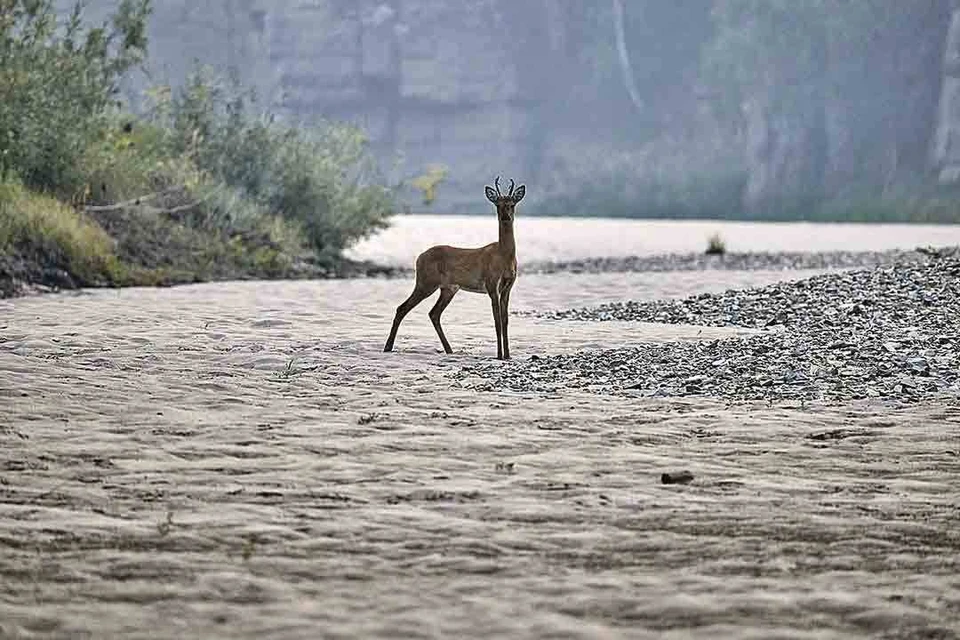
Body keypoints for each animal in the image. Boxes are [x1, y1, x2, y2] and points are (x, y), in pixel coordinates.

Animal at [382, 178, 524, 360]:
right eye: (497, 205)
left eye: (512, 204)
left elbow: (505, 320)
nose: (505, 217)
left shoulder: (508, 286)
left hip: (448, 288)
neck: (504, 256)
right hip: (426, 282)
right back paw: (388, 347)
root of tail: (419, 257)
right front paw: (499, 355)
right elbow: (497, 320)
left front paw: (508, 355)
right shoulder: (492, 284)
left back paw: (449, 350)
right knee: (402, 308)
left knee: (433, 313)